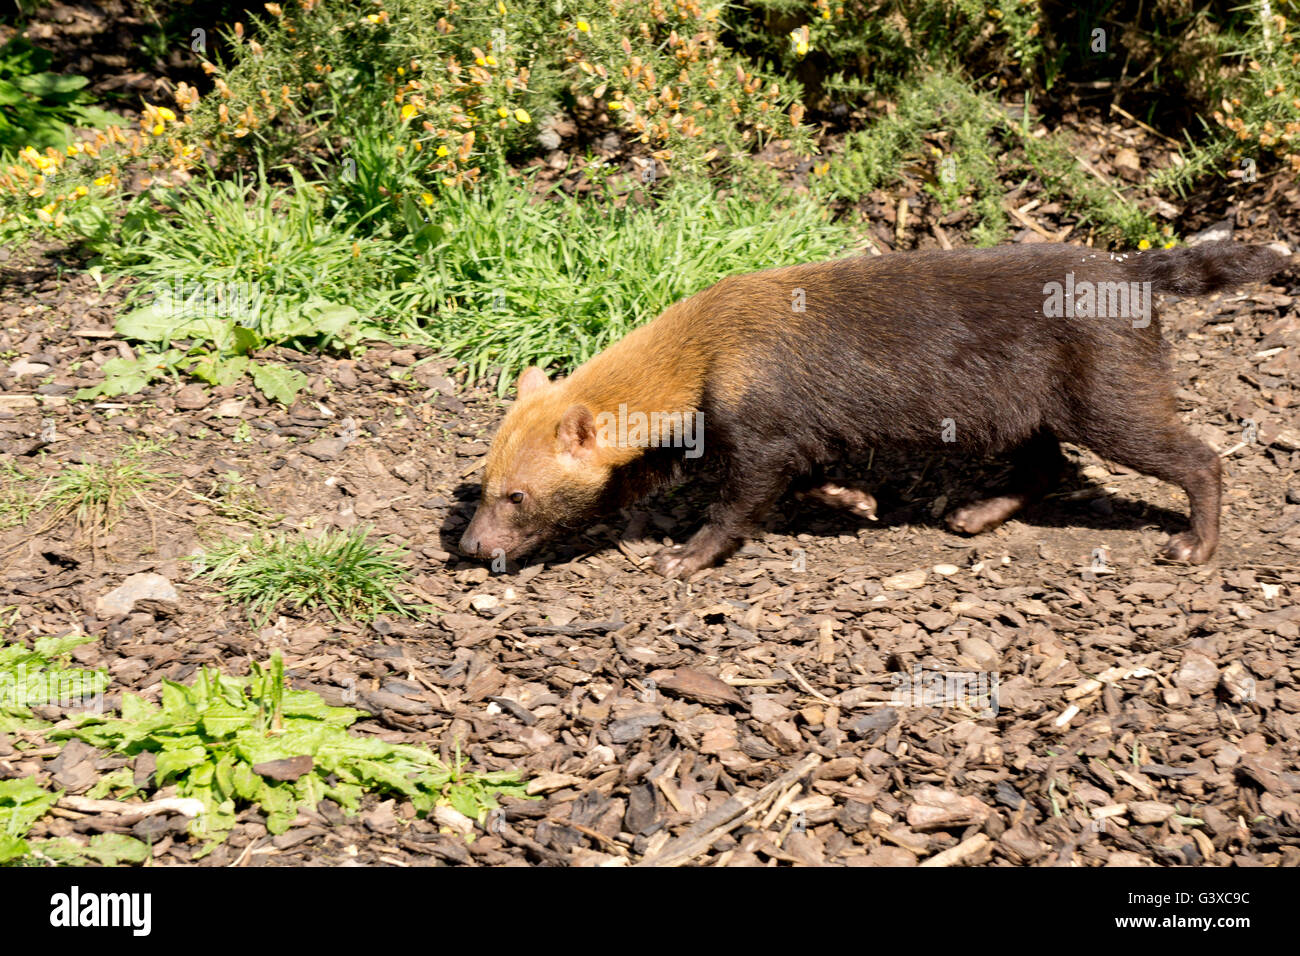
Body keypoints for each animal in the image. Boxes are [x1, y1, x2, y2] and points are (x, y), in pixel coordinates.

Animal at [462, 243, 1284, 580]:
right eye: (484, 486)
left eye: (517, 496)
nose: (469, 548)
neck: (699, 354)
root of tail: (1130, 269)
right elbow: (799, 475)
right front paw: (854, 498)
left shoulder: (757, 423)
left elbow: (742, 498)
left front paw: (685, 556)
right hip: (1027, 409)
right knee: (1046, 466)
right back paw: (975, 513)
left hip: (1107, 394)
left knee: (1197, 455)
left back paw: (1195, 544)